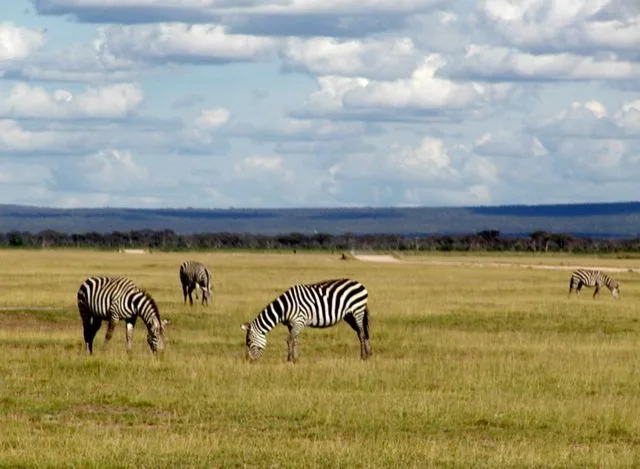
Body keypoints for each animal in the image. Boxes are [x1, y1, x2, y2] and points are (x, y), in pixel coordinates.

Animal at [241, 278, 371, 362]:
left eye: (249, 341)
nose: (249, 361)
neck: (284, 308)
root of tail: (358, 283)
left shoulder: (299, 321)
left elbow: (289, 340)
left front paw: (290, 359)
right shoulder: (292, 324)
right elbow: (295, 340)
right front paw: (296, 359)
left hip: (357, 311)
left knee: (361, 333)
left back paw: (363, 357)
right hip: (349, 315)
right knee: (362, 332)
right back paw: (369, 354)